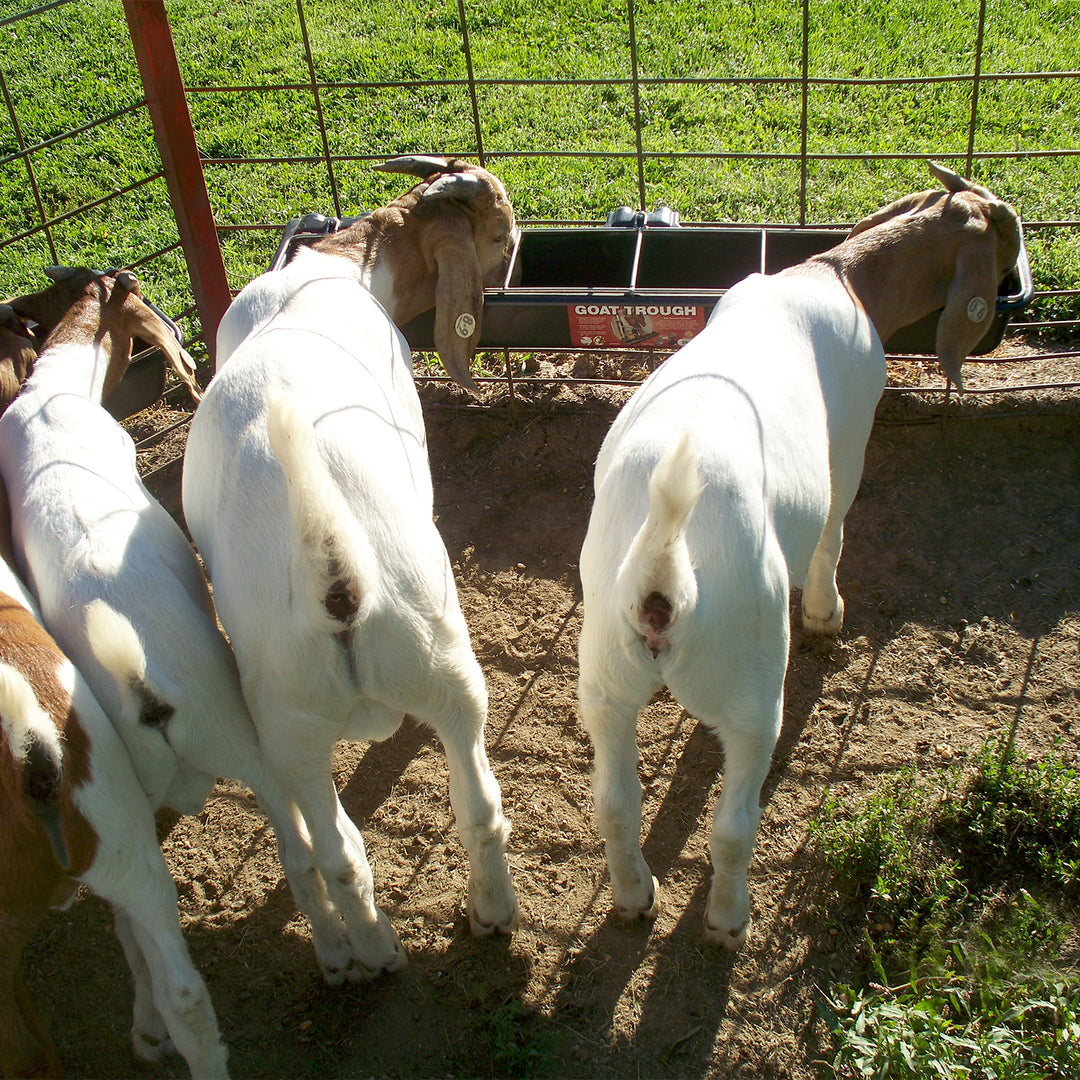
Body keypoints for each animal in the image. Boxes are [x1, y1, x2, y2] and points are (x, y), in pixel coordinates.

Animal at [181, 156, 519, 981]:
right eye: (498, 235)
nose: (517, 254)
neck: (338, 267)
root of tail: (335, 582)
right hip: (443, 675)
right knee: (469, 805)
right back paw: (473, 920)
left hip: (297, 732)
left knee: (346, 851)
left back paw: (380, 948)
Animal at [576, 162, 1022, 948]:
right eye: (1005, 237)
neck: (840, 275)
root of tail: (662, 574)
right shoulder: (851, 436)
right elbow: (835, 527)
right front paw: (825, 613)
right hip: (753, 688)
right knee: (732, 826)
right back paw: (728, 921)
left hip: (603, 677)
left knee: (615, 807)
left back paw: (636, 898)